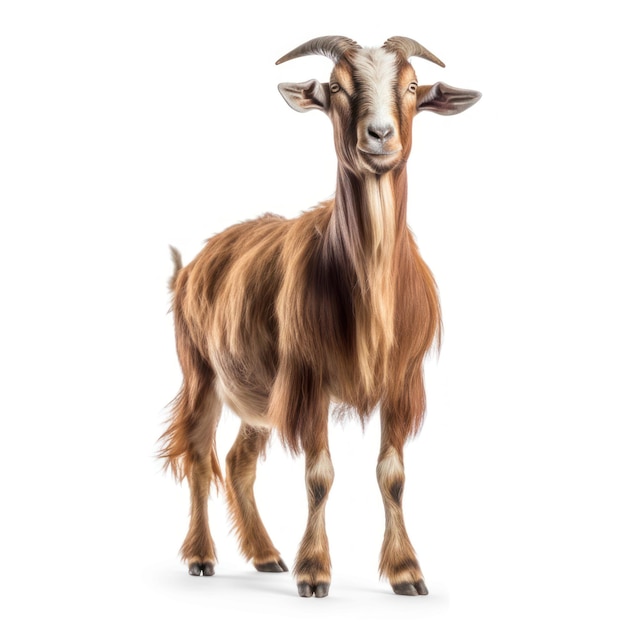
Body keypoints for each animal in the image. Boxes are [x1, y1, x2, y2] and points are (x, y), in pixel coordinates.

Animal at [160, 34, 478, 596]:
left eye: (412, 86)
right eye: (336, 87)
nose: (380, 134)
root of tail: (192, 268)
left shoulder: (402, 380)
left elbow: (393, 475)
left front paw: (406, 572)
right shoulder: (308, 379)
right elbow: (319, 476)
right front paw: (313, 572)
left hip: (259, 392)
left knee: (239, 461)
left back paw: (266, 555)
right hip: (199, 370)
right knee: (199, 456)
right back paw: (201, 556)